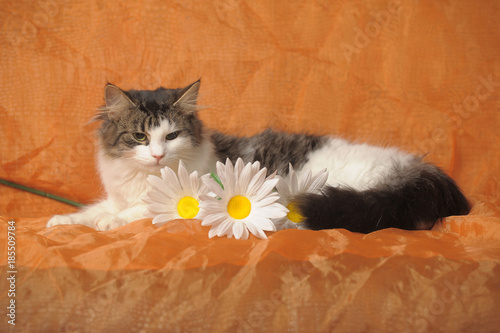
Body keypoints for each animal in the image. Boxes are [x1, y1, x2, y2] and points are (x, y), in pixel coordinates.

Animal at [46, 80, 468, 231]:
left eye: (172, 135)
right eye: (139, 136)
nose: (157, 155)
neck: (146, 179)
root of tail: (414, 167)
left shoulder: (198, 197)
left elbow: (138, 212)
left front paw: (110, 223)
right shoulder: (117, 194)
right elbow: (94, 210)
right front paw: (63, 220)